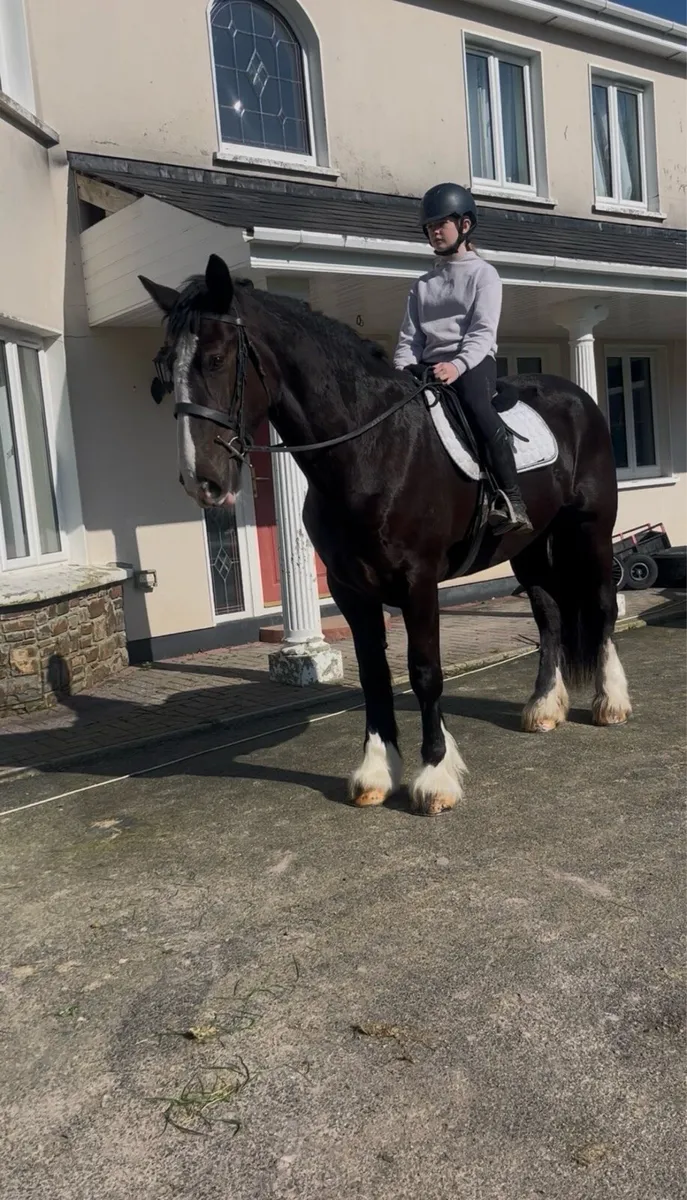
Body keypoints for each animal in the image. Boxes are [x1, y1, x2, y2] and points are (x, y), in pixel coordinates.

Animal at [139, 253, 631, 817]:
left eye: (216, 358)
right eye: (164, 367)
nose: (201, 481)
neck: (370, 448)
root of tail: (578, 397)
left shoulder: (418, 582)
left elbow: (424, 671)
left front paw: (435, 776)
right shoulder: (351, 588)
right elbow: (374, 676)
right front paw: (376, 772)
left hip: (592, 531)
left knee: (602, 605)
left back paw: (611, 702)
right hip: (528, 547)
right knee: (549, 616)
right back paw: (544, 707)